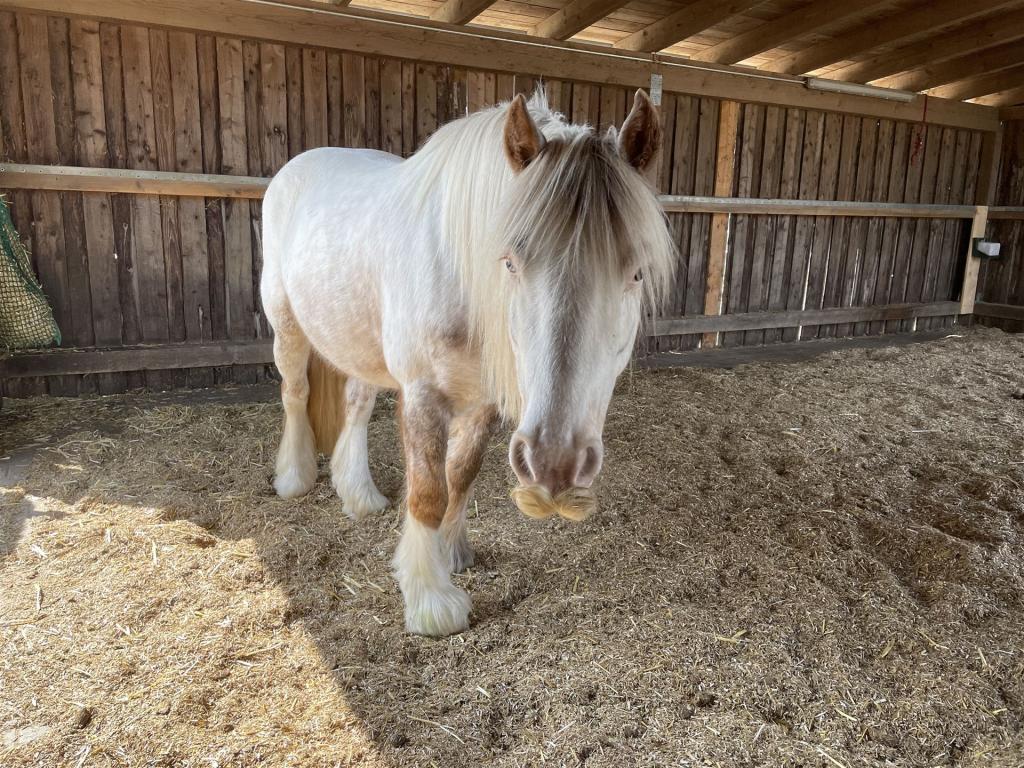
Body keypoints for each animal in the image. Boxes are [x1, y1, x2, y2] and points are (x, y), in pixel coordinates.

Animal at [260, 88, 675, 637]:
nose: (555, 464)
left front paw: (451, 552)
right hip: (285, 324)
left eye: (637, 273)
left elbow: (461, 473)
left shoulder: (483, 403)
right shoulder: (422, 395)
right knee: (295, 393)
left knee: (357, 403)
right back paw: (294, 478)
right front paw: (430, 599)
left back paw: (359, 495)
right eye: (510, 262)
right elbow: (427, 491)